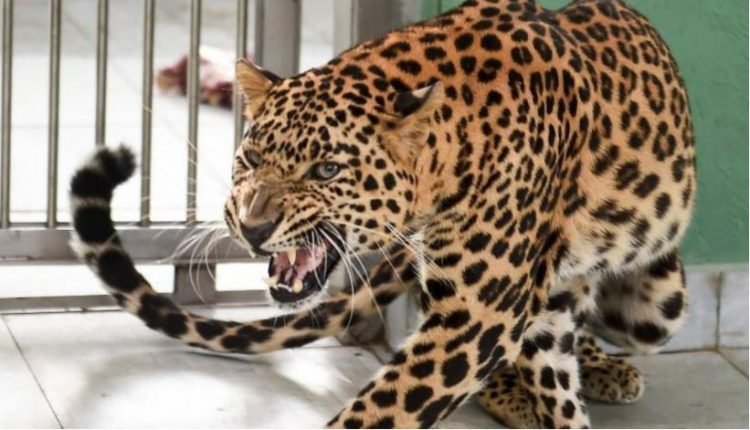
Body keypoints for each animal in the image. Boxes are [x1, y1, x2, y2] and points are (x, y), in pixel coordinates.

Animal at [69, 0, 695, 427]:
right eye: (250, 158)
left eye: (326, 170)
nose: (252, 227)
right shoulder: (483, 312)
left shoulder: (479, 314)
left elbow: (385, 408)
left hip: (657, 302)